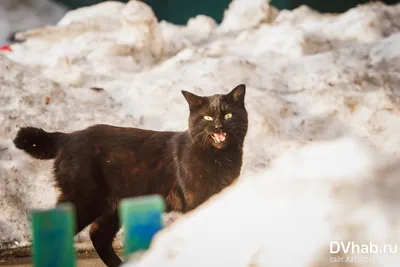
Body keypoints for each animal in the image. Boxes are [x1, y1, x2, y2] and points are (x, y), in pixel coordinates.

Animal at [12, 84, 247, 267]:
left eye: (228, 115)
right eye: (207, 117)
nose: (219, 126)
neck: (220, 158)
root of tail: (68, 137)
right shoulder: (196, 201)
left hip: (112, 205)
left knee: (98, 235)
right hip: (83, 200)